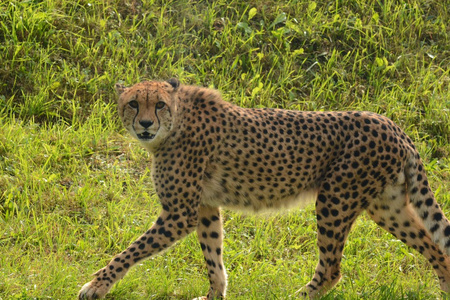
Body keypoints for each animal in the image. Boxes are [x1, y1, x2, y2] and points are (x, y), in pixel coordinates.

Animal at [79, 78, 450, 298]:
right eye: (133, 103)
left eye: (158, 104)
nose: (145, 124)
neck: (176, 123)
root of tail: (391, 124)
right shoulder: (205, 207)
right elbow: (214, 257)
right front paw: (214, 295)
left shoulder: (178, 214)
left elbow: (130, 251)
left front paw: (96, 285)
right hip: (386, 207)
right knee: (436, 248)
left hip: (335, 199)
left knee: (332, 268)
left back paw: (299, 296)